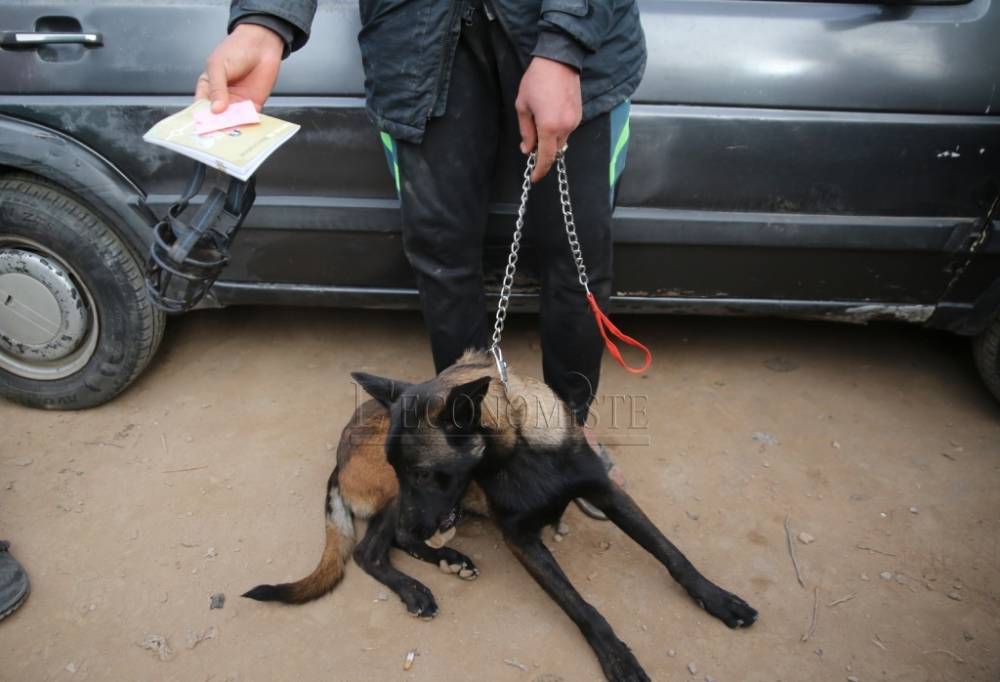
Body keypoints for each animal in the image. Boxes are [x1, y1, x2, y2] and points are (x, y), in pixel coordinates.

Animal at [244, 350, 756, 680]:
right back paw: (416, 586)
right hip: (396, 503)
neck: (521, 450)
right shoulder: (521, 539)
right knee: (373, 550)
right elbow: (581, 606)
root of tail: (339, 453)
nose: (413, 521)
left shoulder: (609, 494)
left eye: (423, 472)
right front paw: (615, 653)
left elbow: (671, 553)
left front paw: (717, 598)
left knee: (398, 543)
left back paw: (448, 558)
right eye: (403, 468)